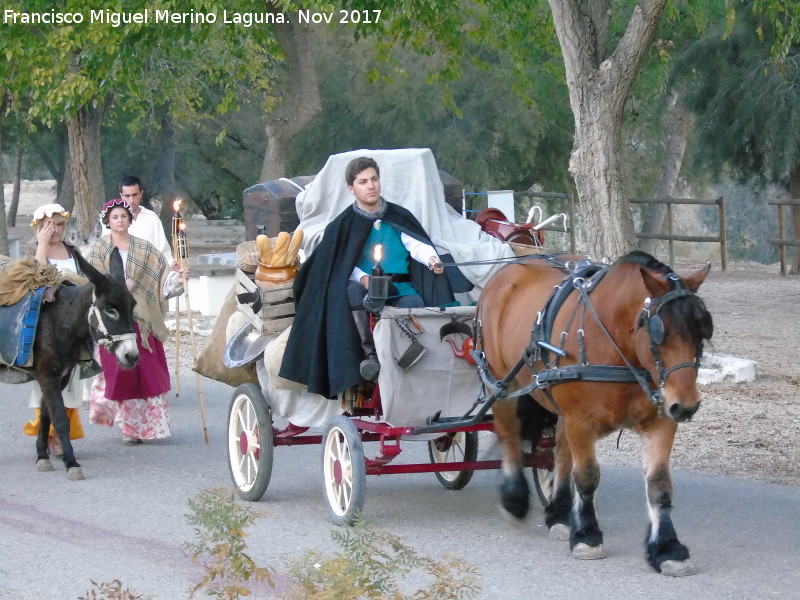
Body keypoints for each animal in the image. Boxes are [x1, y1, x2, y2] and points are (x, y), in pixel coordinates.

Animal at [476, 250, 712, 576]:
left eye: (701, 333)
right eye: (659, 334)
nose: (686, 405)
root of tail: (509, 269)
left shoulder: (661, 420)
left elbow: (660, 484)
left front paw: (668, 548)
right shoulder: (581, 420)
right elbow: (586, 476)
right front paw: (587, 536)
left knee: (560, 451)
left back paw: (560, 514)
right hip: (501, 383)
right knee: (509, 433)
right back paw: (515, 499)